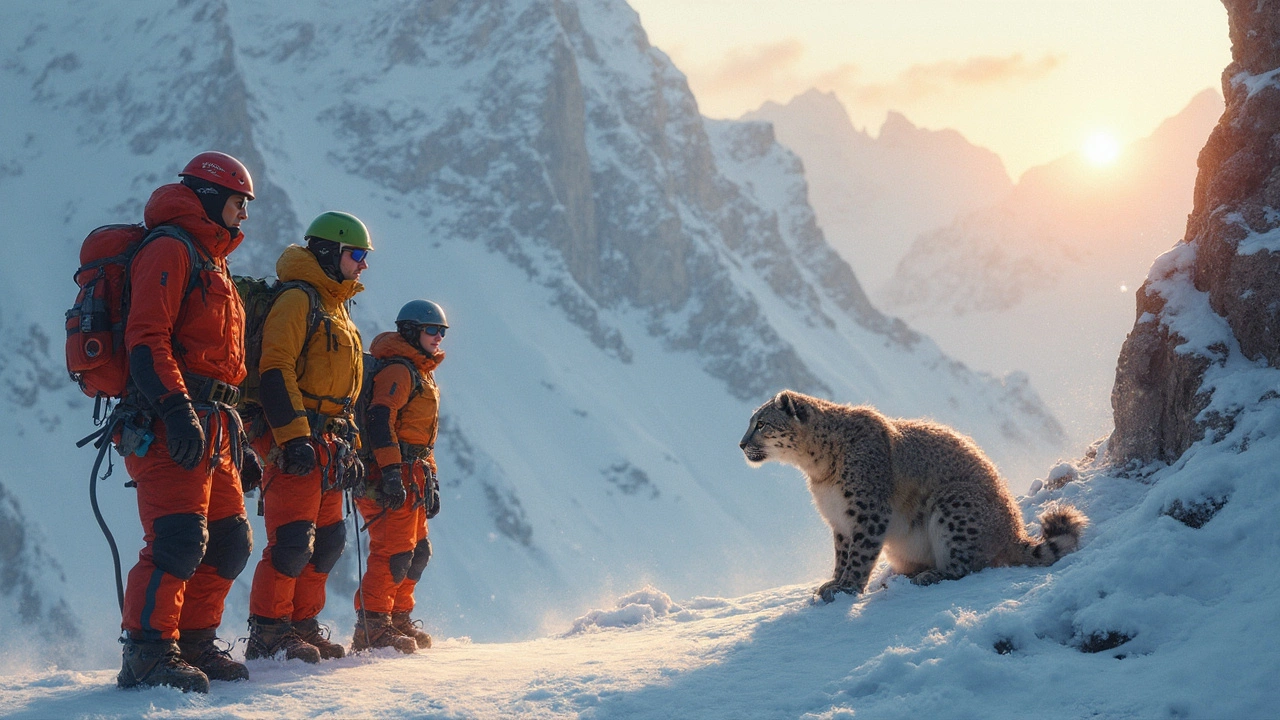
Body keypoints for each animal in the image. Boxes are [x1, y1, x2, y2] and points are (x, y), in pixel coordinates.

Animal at [737, 386, 1085, 599]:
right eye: (752, 421)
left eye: (762, 423)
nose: (740, 443)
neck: (818, 470)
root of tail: (1014, 532)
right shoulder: (840, 521)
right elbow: (843, 553)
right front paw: (834, 582)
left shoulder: (868, 512)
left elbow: (860, 554)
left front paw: (847, 588)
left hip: (954, 504)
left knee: (966, 566)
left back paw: (928, 576)